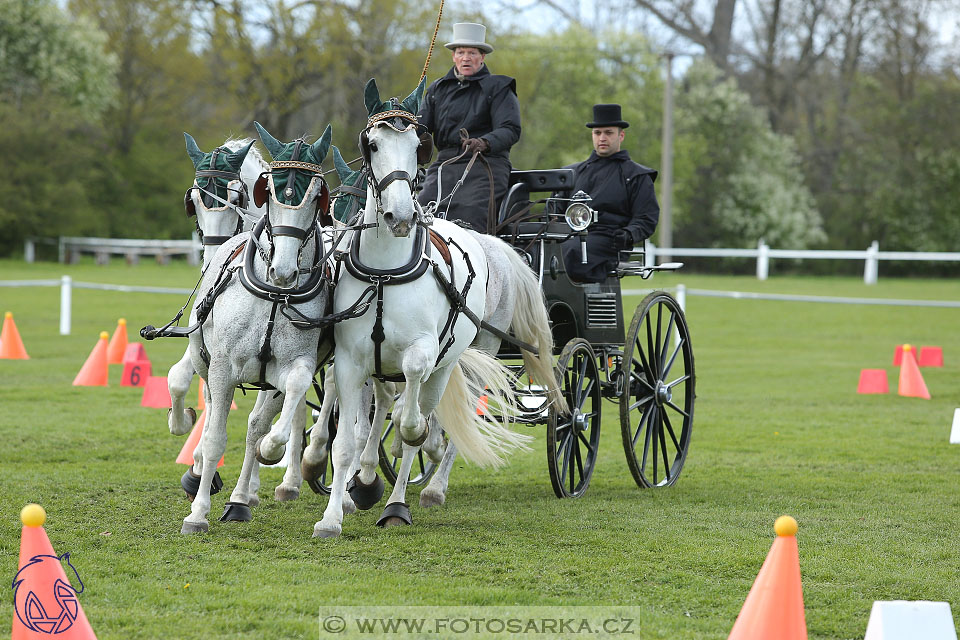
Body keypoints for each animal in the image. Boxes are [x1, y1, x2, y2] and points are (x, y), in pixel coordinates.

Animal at [180, 122, 334, 532]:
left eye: (317, 198)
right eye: (194, 202)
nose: (284, 270)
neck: (274, 293)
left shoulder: (296, 365)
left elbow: (264, 424)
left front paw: (269, 455)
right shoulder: (219, 365)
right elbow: (214, 434)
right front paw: (198, 510)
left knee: (267, 421)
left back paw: (253, 491)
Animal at [304, 80, 532, 540]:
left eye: (416, 146)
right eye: (372, 144)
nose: (401, 216)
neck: (384, 271)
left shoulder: (422, 353)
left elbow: (411, 422)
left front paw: (395, 464)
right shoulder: (351, 361)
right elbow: (345, 442)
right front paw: (333, 515)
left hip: (468, 354)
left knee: (436, 413)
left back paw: (410, 497)